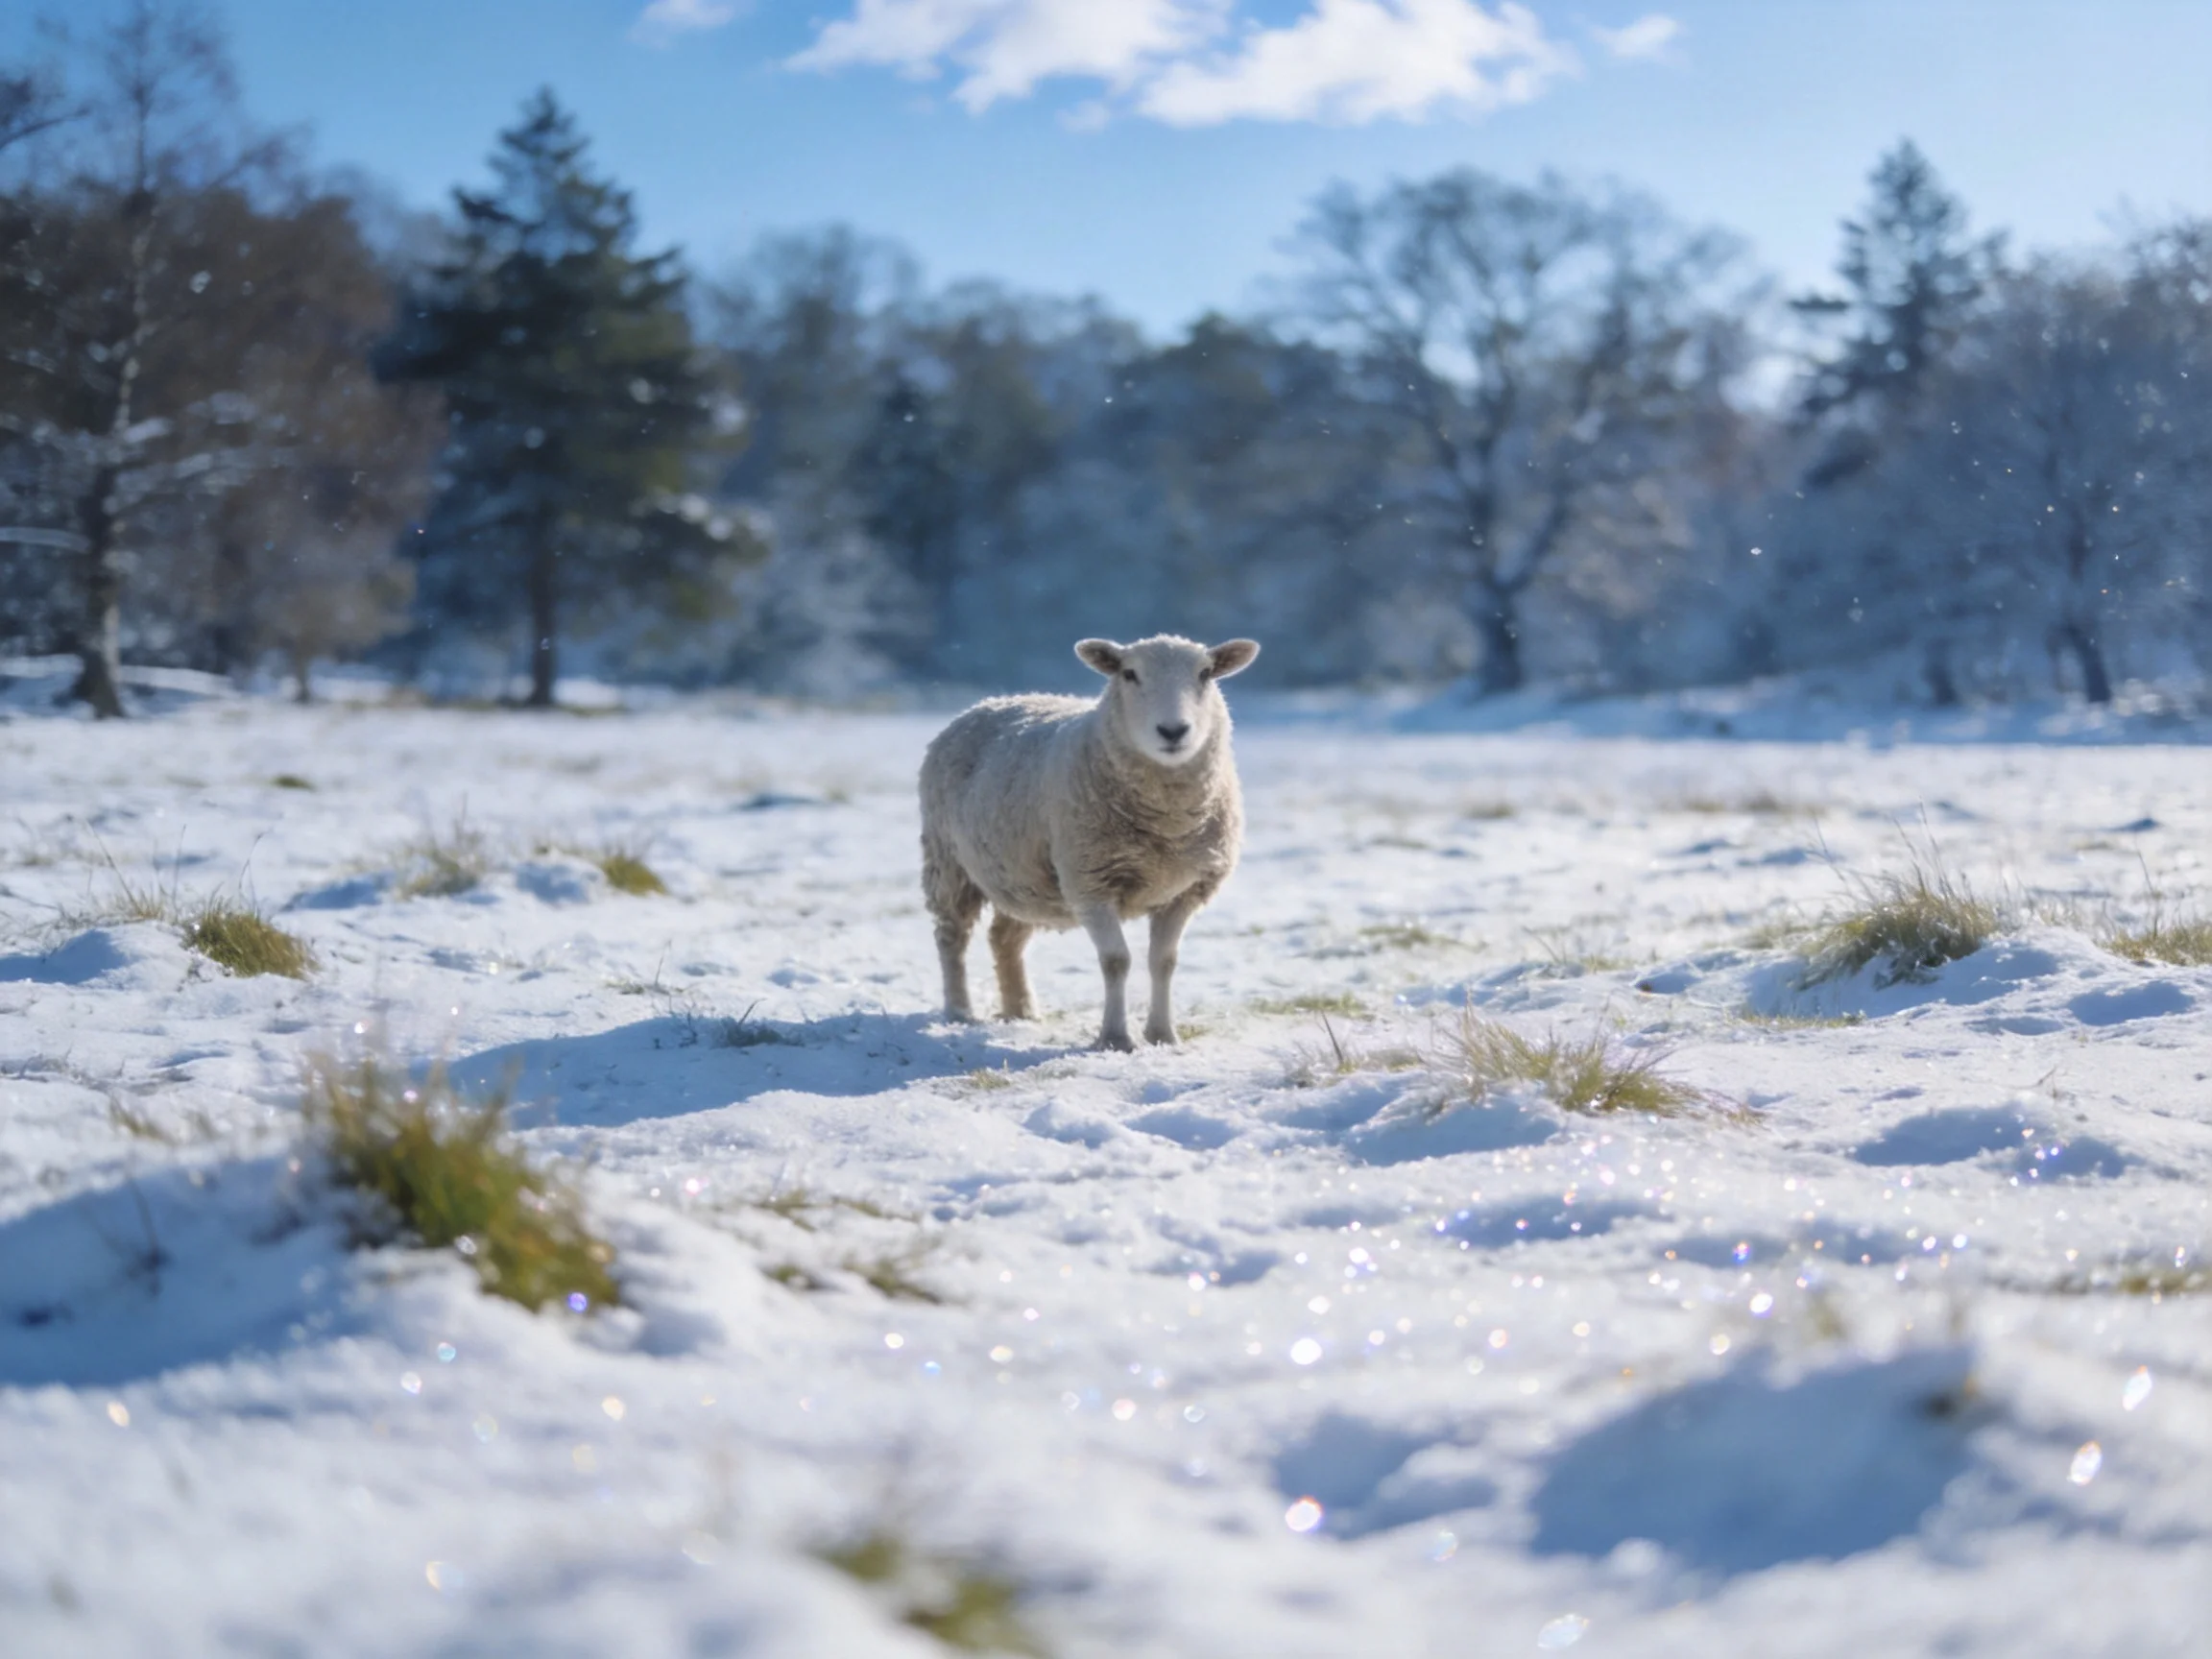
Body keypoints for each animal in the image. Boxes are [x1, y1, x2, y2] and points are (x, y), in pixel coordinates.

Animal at [919, 634, 1261, 1051]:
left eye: (1206, 673)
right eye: (1129, 674)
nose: (1173, 731)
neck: (1166, 826)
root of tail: (988, 702)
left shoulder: (1184, 891)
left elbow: (1163, 962)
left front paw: (1163, 1035)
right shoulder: (1090, 883)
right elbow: (1116, 961)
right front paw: (1115, 1038)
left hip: (1023, 878)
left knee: (1004, 939)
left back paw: (1021, 1010)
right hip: (947, 861)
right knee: (951, 936)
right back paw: (959, 1011)